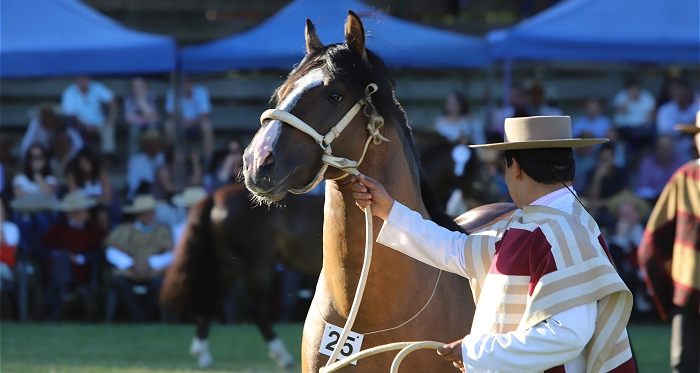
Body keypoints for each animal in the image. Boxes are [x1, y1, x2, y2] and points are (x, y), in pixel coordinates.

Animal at [160, 182, 324, 368]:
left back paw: (202, 354)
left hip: (229, 267)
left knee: (211, 301)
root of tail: (214, 197)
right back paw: (283, 356)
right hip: (257, 266)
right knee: (256, 309)